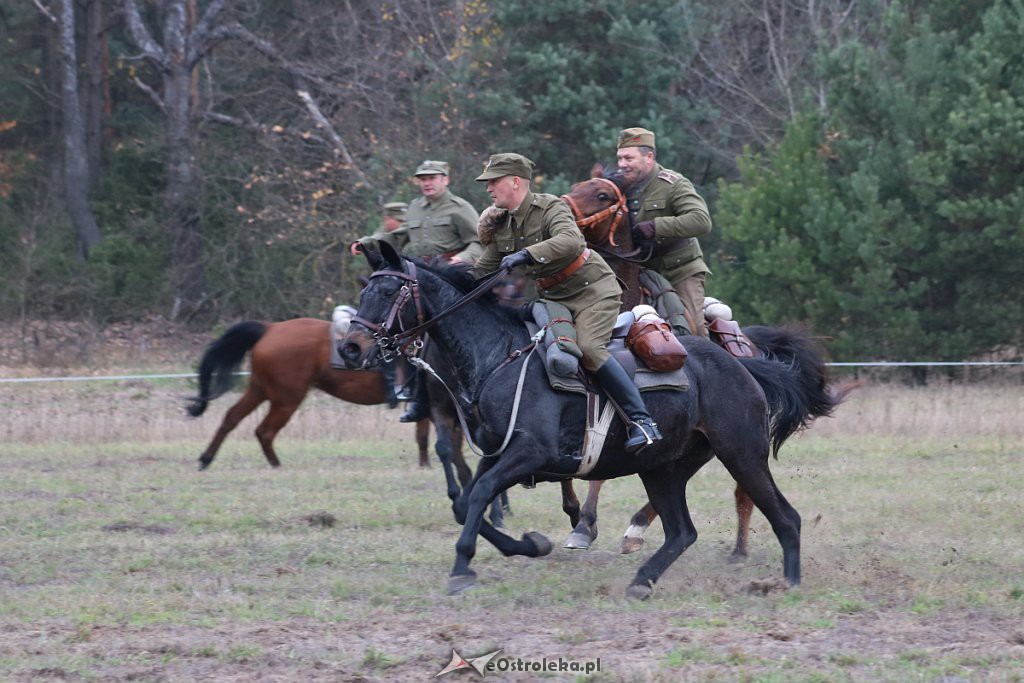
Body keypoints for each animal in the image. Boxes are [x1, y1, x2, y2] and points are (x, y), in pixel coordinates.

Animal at [186, 319, 430, 471]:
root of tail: (270, 328)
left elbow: (422, 435)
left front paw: (425, 464)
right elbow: (425, 436)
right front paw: (427, 465)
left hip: (259, 389)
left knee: (232, 417)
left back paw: (206, 459)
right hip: (286, 399)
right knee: (264, 431)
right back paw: (276, 465)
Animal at [339, 242, 835, 602]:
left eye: (387, 292)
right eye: (364, 292)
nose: (350, 348)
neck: (500, 356)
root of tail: (742, 365)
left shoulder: (527, 454)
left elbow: (478, 497)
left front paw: (462, 568)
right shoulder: (498, 456)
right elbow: (467, 503)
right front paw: (529, 545)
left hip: (742, 454)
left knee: (784, 517)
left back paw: (786, 584)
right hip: (664, 469)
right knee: (682, 531)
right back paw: (642, 580)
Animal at [557, 174, 851, 557]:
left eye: (603, 194)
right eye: (579, 185)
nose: (561, 208)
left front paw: (587, 524)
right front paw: (577, 517)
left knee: (739, 488)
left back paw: (727, 547)